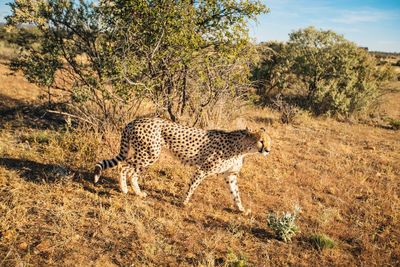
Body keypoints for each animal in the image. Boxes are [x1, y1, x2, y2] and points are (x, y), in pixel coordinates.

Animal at [93, 117, 272, 214]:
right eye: (261, 141)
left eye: (269, 141)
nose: (268, 150)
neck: (244, 148)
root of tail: (135, 120)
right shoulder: (203, 169)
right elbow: (192, 186)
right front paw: (184, 202)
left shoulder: (231, 175)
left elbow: (236, 194)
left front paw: (241, 209)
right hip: (149, 154)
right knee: (124, 168)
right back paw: (125, 189)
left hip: (147, 154)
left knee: (132, 172)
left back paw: (136, 192)